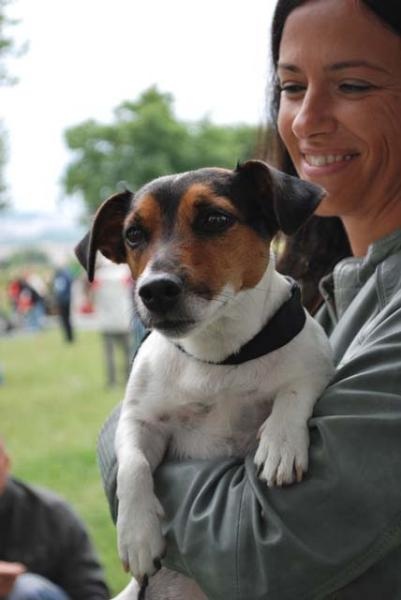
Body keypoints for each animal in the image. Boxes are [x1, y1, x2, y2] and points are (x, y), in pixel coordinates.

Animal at [76, 159, 332, 600]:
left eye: (215, 219)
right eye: (133, 234)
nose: (154, 291)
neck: (219, 356)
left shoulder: (316, 359)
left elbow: (294, 388)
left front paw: (280, 442)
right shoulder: (140, 420)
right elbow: (133, 463)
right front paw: (136, 533)